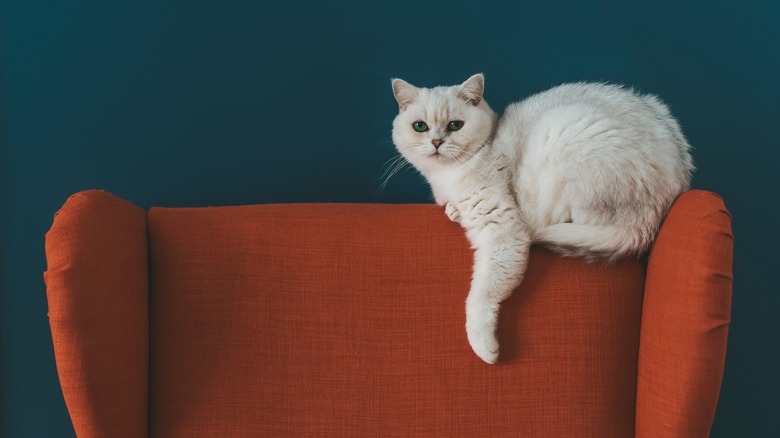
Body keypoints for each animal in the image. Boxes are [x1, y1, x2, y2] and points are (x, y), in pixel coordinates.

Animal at [390, 74, 696, 362]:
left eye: (456, 125)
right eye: (420, 127)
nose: (437, 142)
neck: (447, 177)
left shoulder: (503, 230)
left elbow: (482, 293)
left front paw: (484, 346)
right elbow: (449, 207)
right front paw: (452, 210)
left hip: (563, 136)